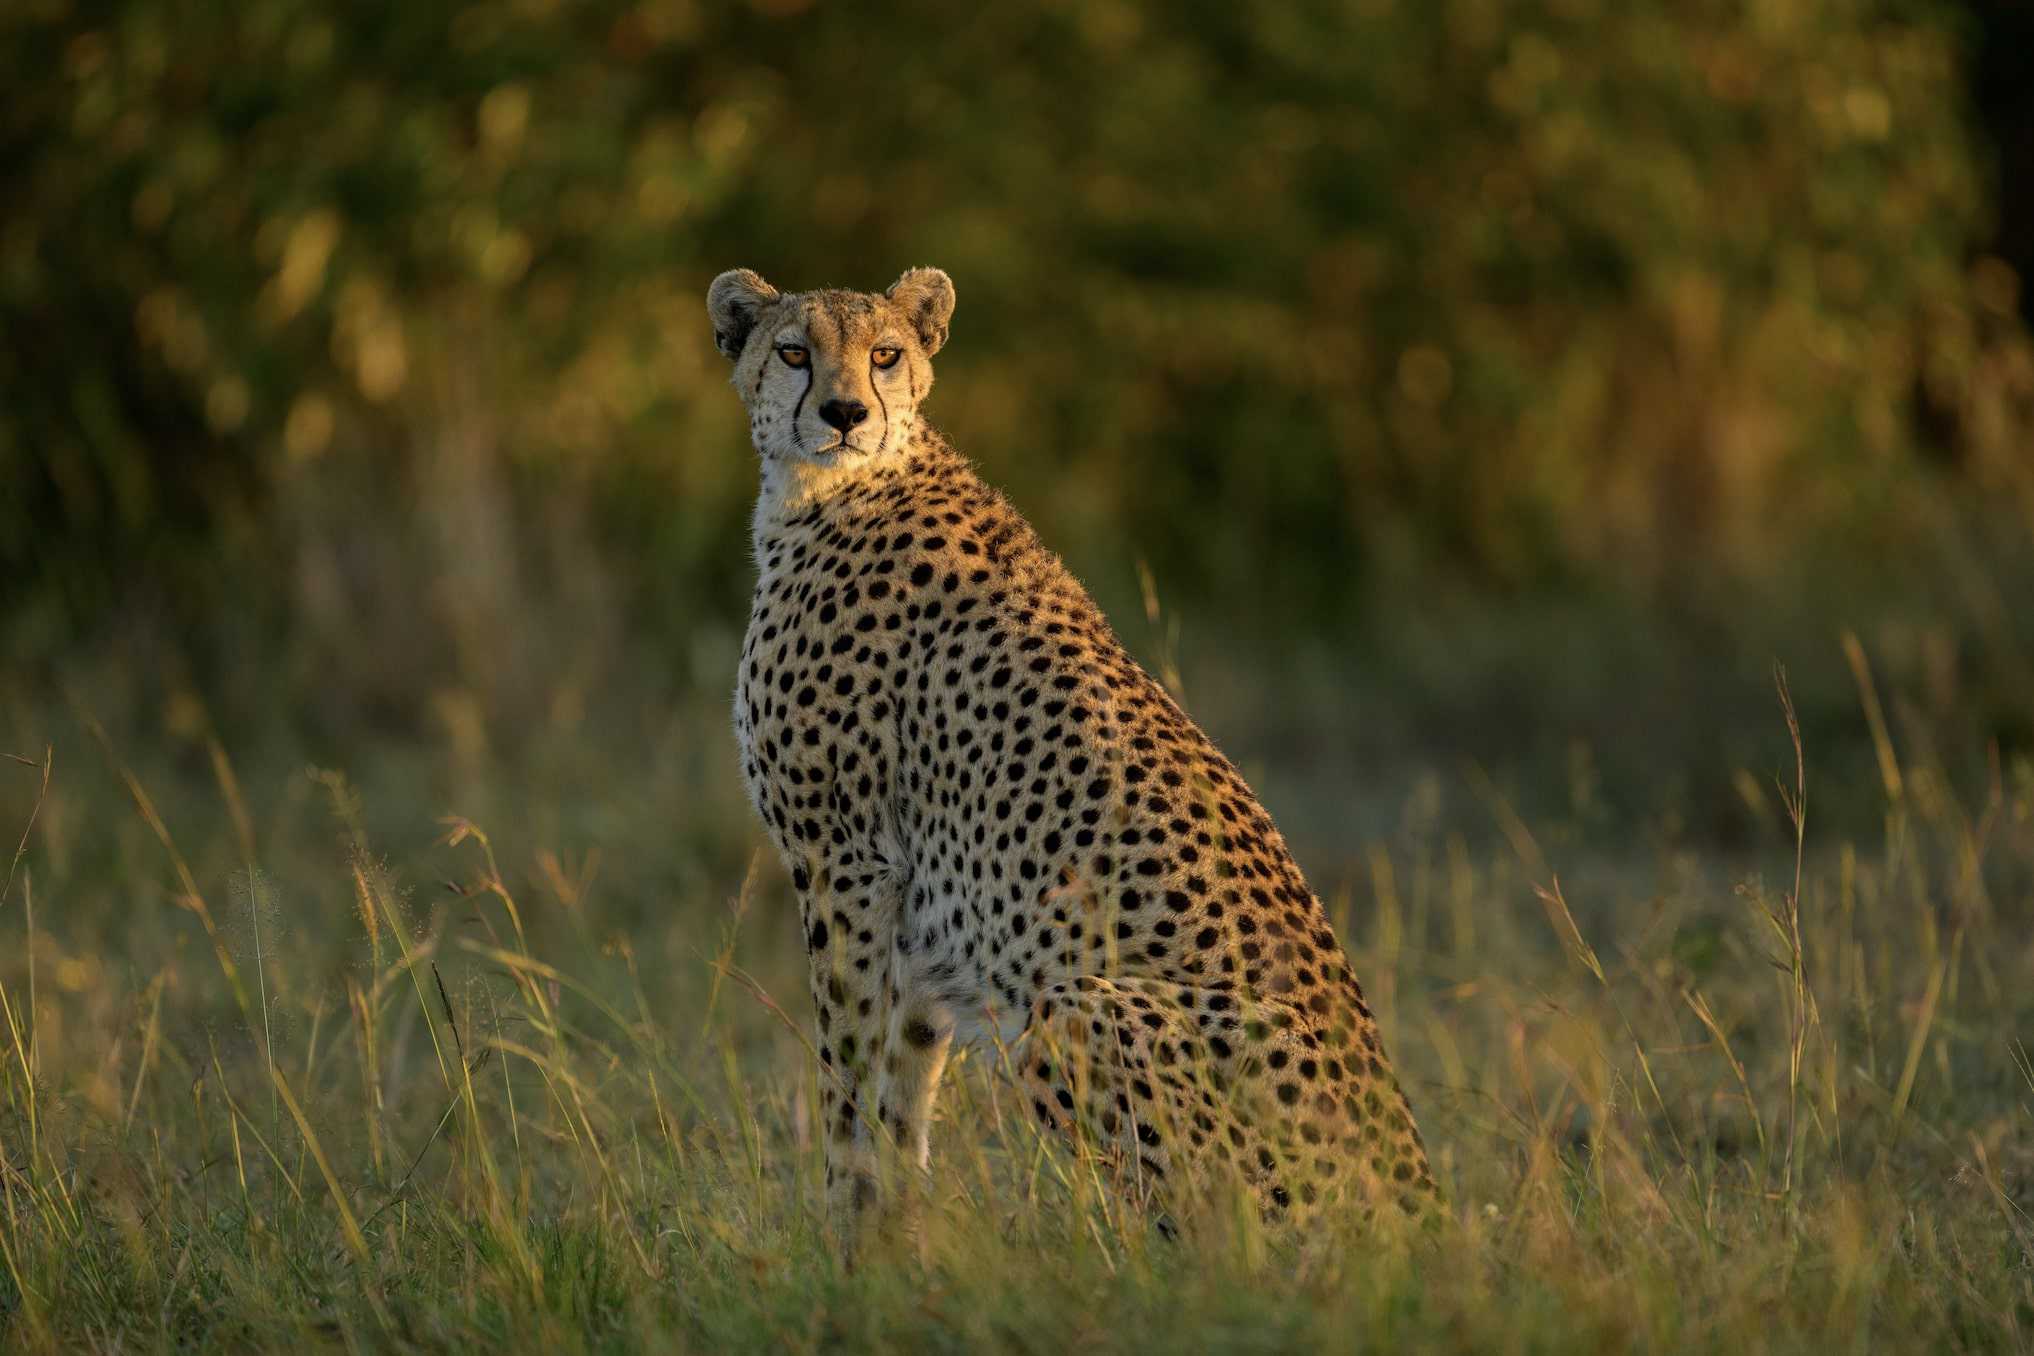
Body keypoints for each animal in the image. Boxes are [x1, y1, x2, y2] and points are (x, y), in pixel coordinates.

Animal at [709, 265, 1440, 1253]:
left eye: (885, 354)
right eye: (793, 351)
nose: (845, 411)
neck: (839, 485)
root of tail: (1423, 1196)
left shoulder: (845, 862)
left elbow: (847, 1076)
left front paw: (844, 1244)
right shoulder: (914, 909)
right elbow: (901, 1093)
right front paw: (897, 1251)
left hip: (1075, 1010)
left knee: (1227, 1243)